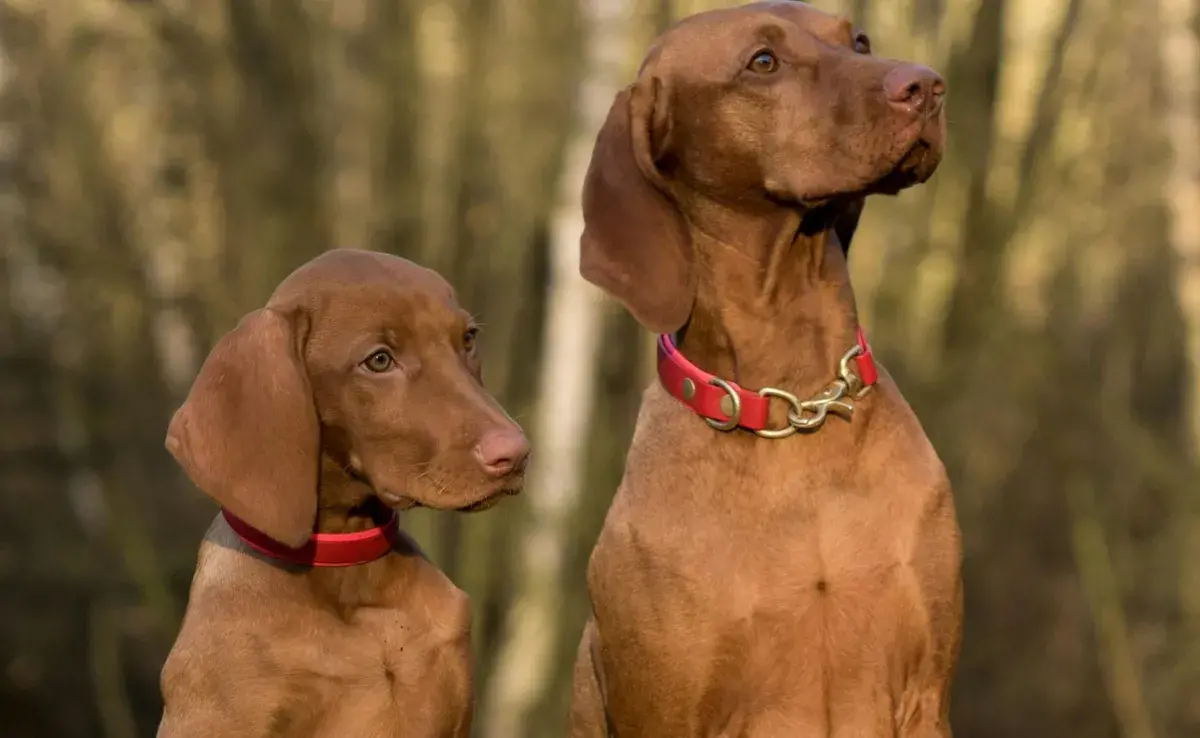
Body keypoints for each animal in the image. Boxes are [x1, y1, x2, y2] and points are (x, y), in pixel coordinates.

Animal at [568, 2, 964, 734]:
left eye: (858, 40)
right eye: (763, 62)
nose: (926, 85)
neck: (797, 398)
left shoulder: (925, 694)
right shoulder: (669, 711)